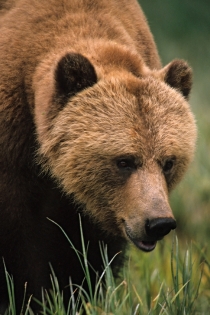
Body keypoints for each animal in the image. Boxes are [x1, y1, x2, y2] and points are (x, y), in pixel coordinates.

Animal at [0, 0, 197, 312]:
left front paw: (75, 297)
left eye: (168, 162)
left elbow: (87, 256)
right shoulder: (13, 150)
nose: (158, 223)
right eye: (124, 161)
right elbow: (18, 250)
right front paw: (29, 299)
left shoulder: (105, 208)